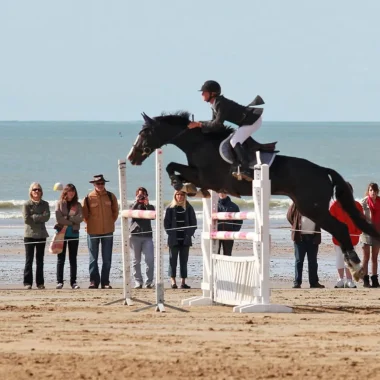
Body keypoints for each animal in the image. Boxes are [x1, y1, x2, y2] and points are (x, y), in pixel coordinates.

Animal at [127, 111, 380, 280]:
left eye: (144, 132)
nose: (131, 157)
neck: (200, 144)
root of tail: (323, 170)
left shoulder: (207, 178)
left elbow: (173, 167)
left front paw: (182, 184)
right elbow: (174, 167)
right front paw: (186, 187)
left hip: (312, 208)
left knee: (341, 229)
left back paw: (356, 267)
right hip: (310, 207)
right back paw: (355, 267)